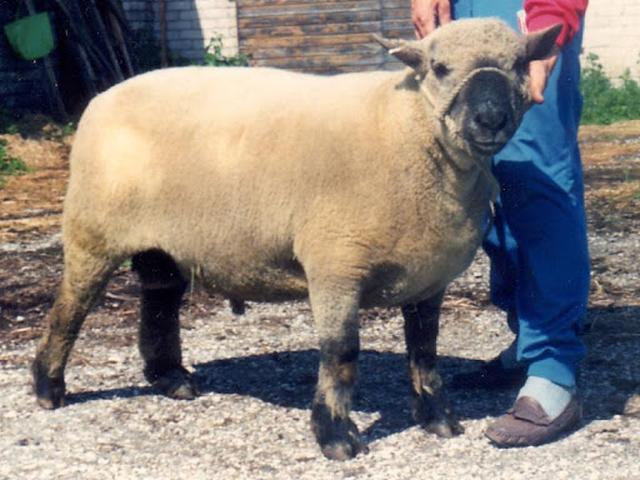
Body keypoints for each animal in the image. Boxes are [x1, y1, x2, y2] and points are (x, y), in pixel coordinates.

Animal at [32, 19, 561, 460]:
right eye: (439, 68)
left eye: (519, 65)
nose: (490, 119)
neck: (407, 127)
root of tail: (102, 98)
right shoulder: (335, 264)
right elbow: (341, 354)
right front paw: (336, 437)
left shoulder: (429, 276)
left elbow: (425, 351)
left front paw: (437, 418)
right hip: (93, 231)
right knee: (71, 309)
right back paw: (48, 387)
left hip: (162, 244)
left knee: (159, 301)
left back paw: (171, 380)